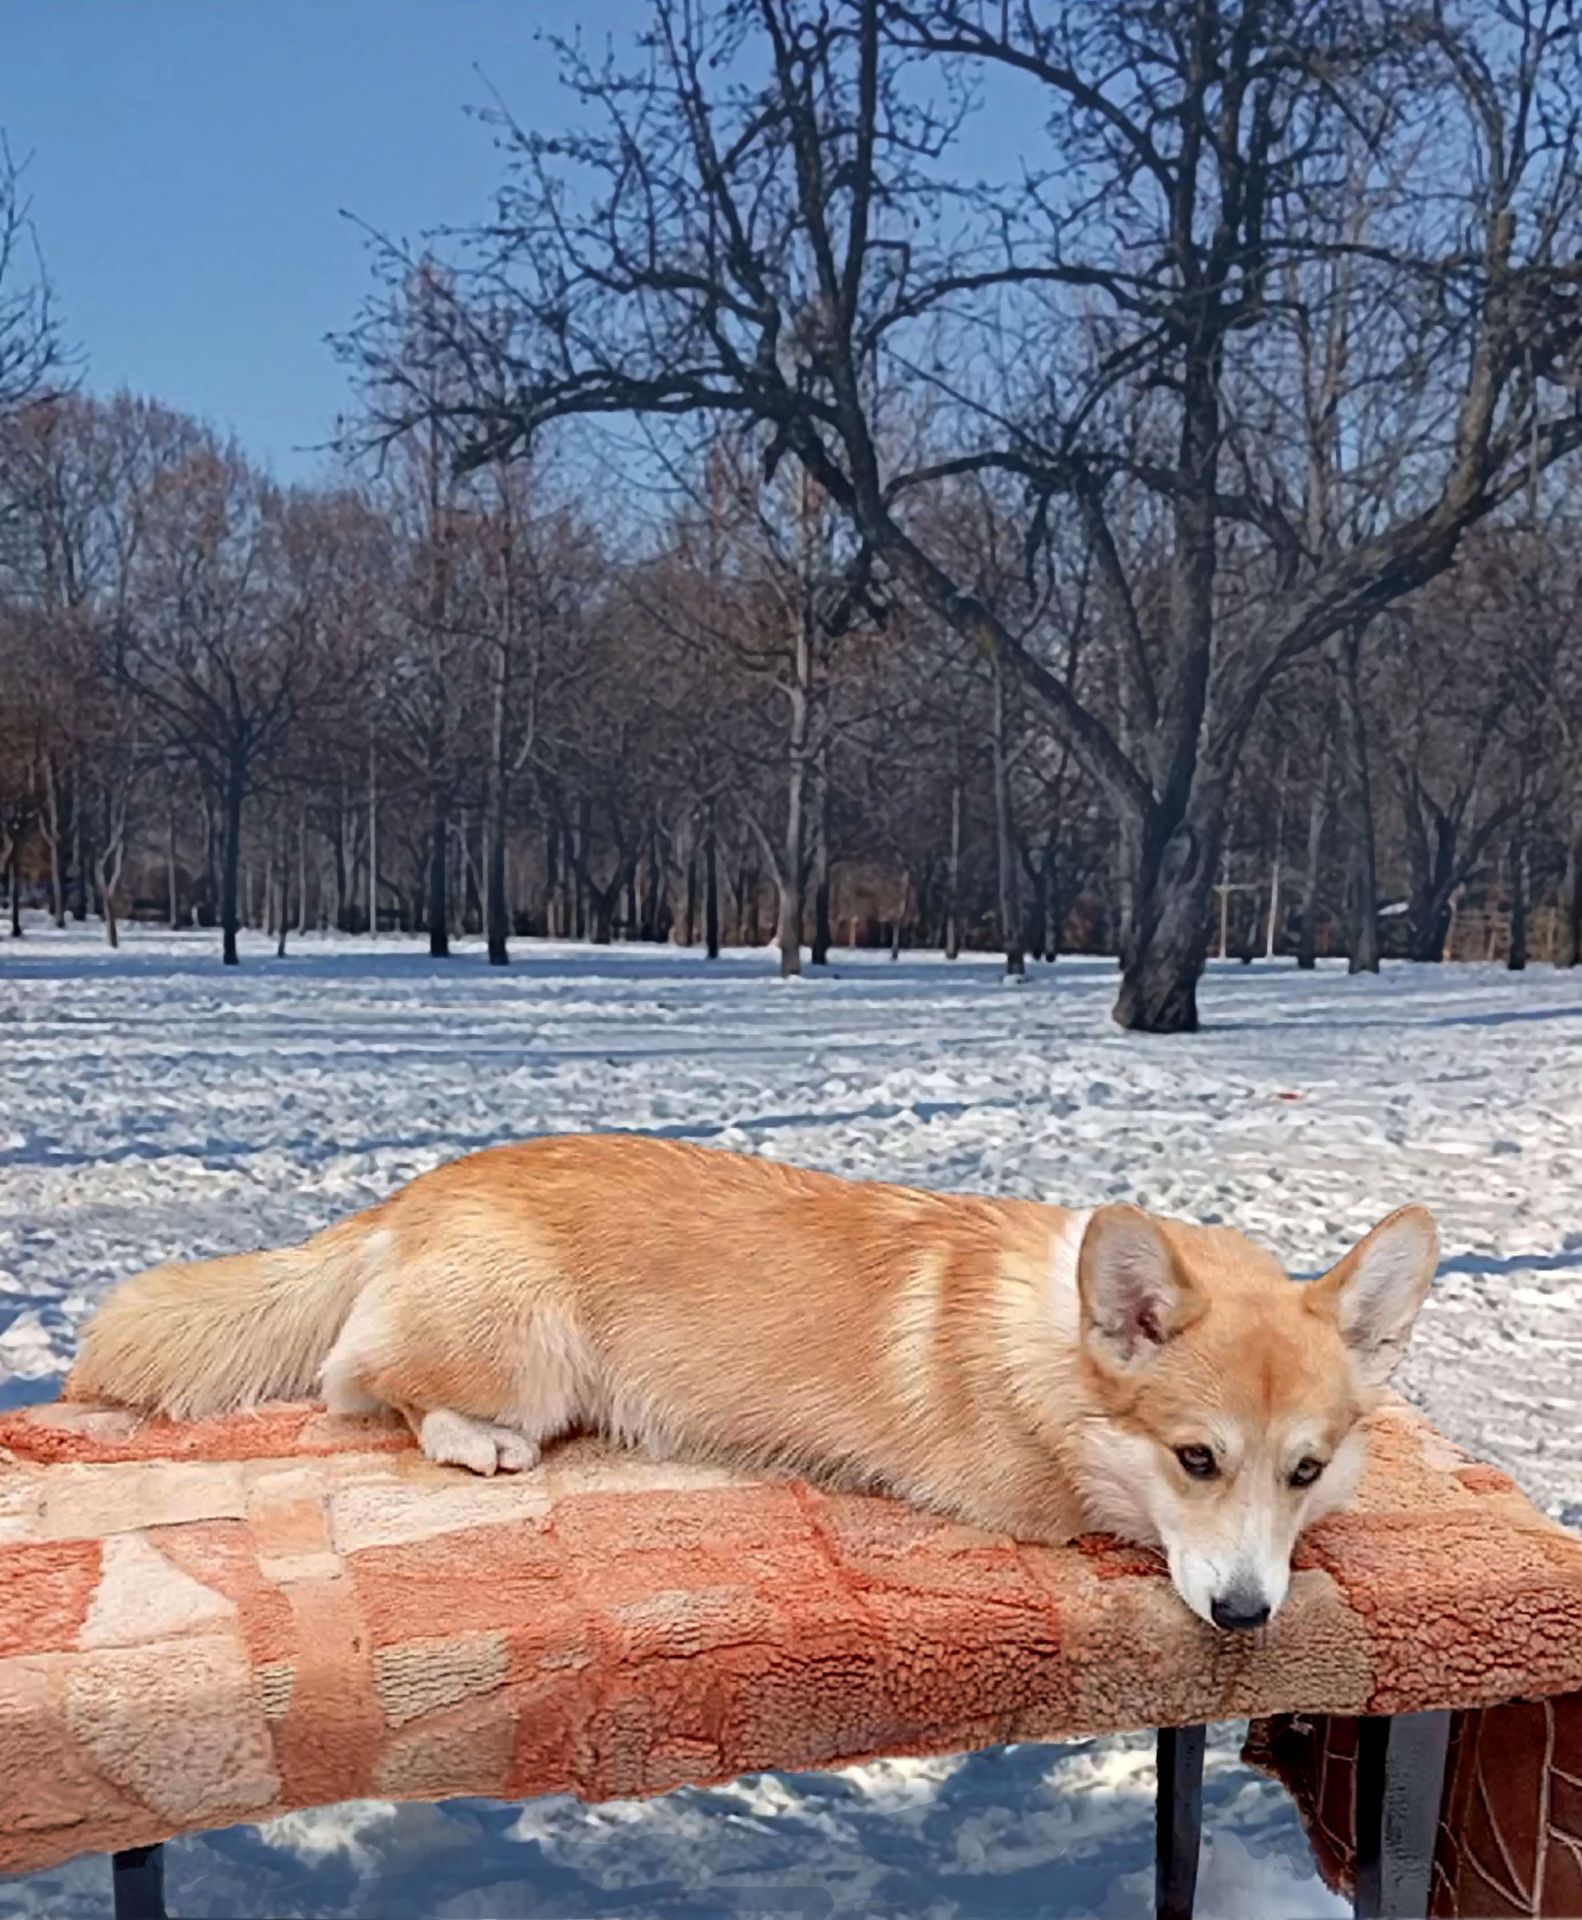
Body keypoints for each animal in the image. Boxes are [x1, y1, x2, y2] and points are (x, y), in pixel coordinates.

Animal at [68, 1128, 1436, 1628]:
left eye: (1306, 1470)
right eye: (1194, 1458)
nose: (1245, 1620)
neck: (1055, 1349)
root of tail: (413, 1195)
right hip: (523, 1349)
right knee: (364, 1384)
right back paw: (478, 1440)